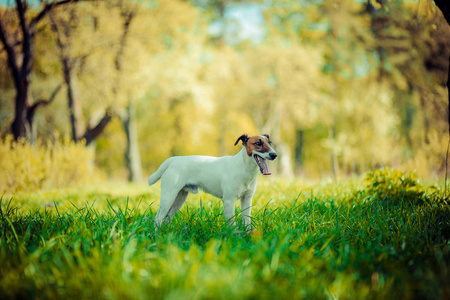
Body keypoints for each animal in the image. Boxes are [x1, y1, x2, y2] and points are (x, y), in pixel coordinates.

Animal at [148, 134, 276, 232]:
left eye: (269, 143)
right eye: (258, 143)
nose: (274, 155)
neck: (244, 168)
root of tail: (173, 160)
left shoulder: (247, 199)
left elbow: (246, 220)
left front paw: (248, 234)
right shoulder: (229, 200)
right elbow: (232, 222)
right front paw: (235, 236)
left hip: (179, 198)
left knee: (167, 217)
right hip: (168, 196)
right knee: (158, 217)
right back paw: (158, 235)